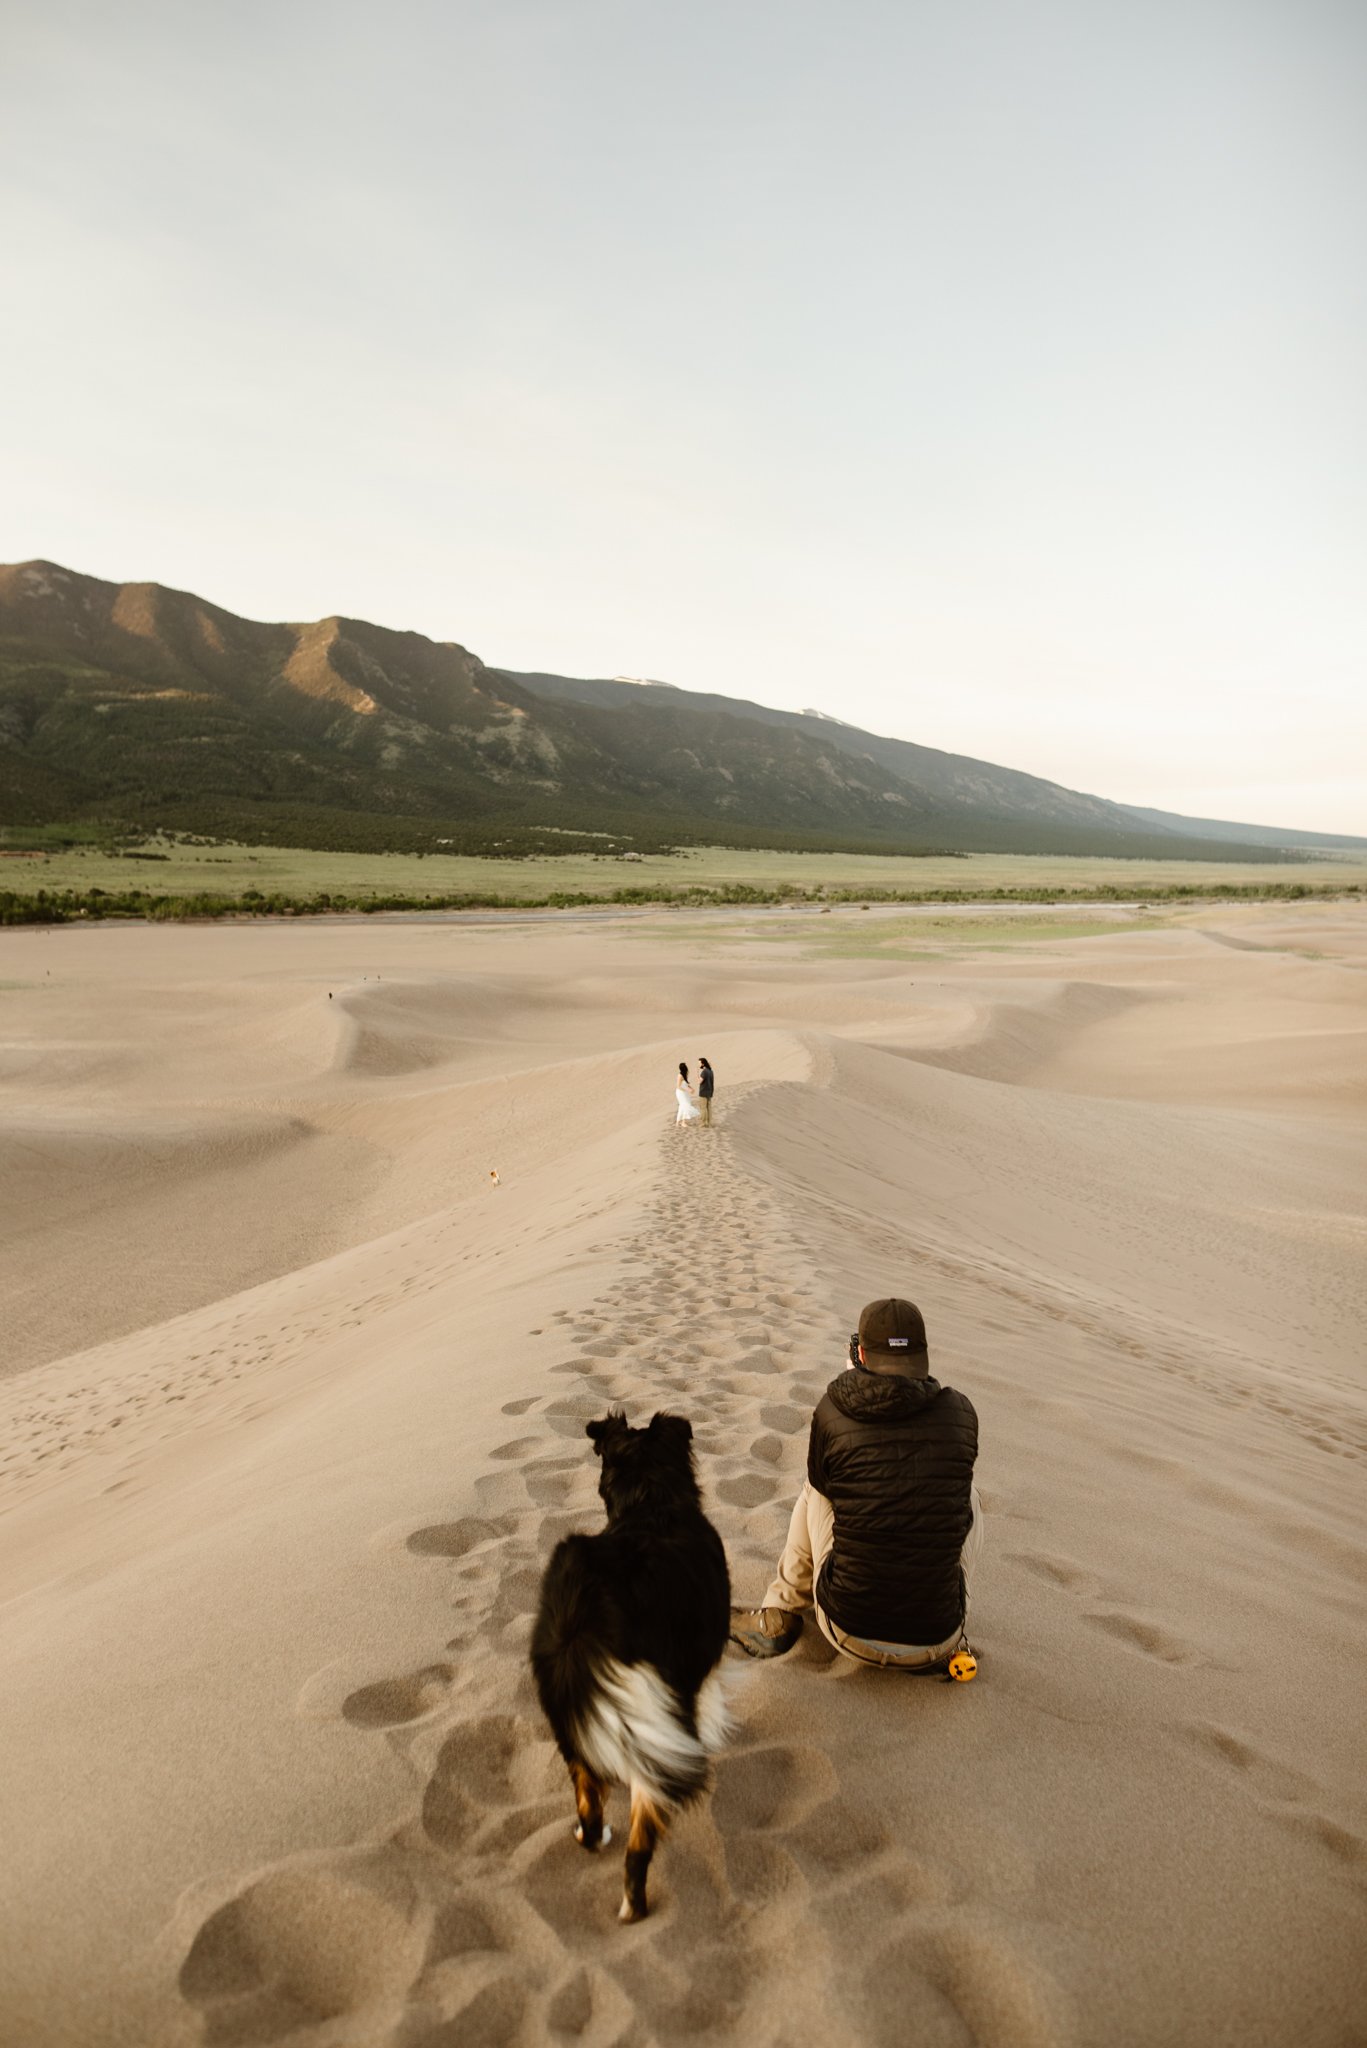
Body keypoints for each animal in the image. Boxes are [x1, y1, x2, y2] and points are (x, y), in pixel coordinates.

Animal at [528, 1409, 733, 1916]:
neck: (649, 1501)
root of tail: (587, 1609)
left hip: (568, 1715)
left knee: (587, 1801)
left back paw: (591, 1836)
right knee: (640, 1842)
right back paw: (635, 1907)